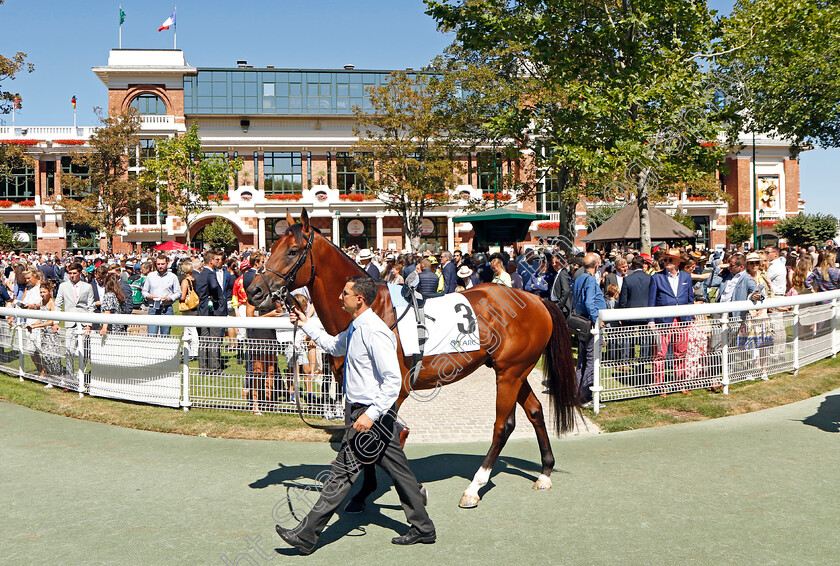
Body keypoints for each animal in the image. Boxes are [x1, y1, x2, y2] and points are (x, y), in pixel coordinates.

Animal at [246, 210, 580, 510]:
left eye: (292, 251)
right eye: (272, 247)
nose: (254, 290)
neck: (372, 312)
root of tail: (535, 299)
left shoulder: (394, 391)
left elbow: (381, 440)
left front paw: (397, 489)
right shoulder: (357, 390)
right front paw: (363, 493)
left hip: (510, 372)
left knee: (503, 425)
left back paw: (474, 488)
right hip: (516, 370)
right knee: (535, 411)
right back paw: (545, 472)